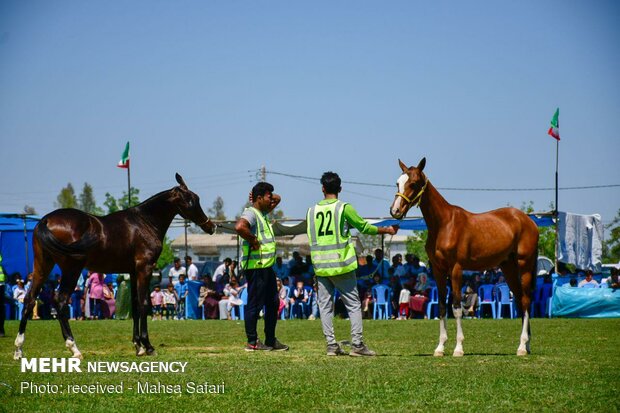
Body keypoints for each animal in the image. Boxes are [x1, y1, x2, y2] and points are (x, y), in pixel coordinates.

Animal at [13, 172, 217, 358]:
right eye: (191, 200)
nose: (211, 226)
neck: (145, 222)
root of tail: (46, 220)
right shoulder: (145, 268)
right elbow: (144, 304)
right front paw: (148, 346)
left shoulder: (133, 272)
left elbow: (135, 305)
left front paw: (138, 345)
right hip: (71, 269)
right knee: (60, 301)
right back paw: (74, 348)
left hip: (42, 266)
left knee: (29, 299)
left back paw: (18, 349)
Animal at [392, 158, 536, 354]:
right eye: (397, 183)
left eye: (413, 183)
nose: (395, 211)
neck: (444, 224)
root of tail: (528, 221)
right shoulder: (438, 270)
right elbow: (442, 307)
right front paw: (440, 347)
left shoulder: (456, 269)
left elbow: (457, 307)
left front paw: (458, 348)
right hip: (509, 268)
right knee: (521, 301)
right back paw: (526, 345)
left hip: (525, 266)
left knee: (526, 301)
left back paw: (522, 346)